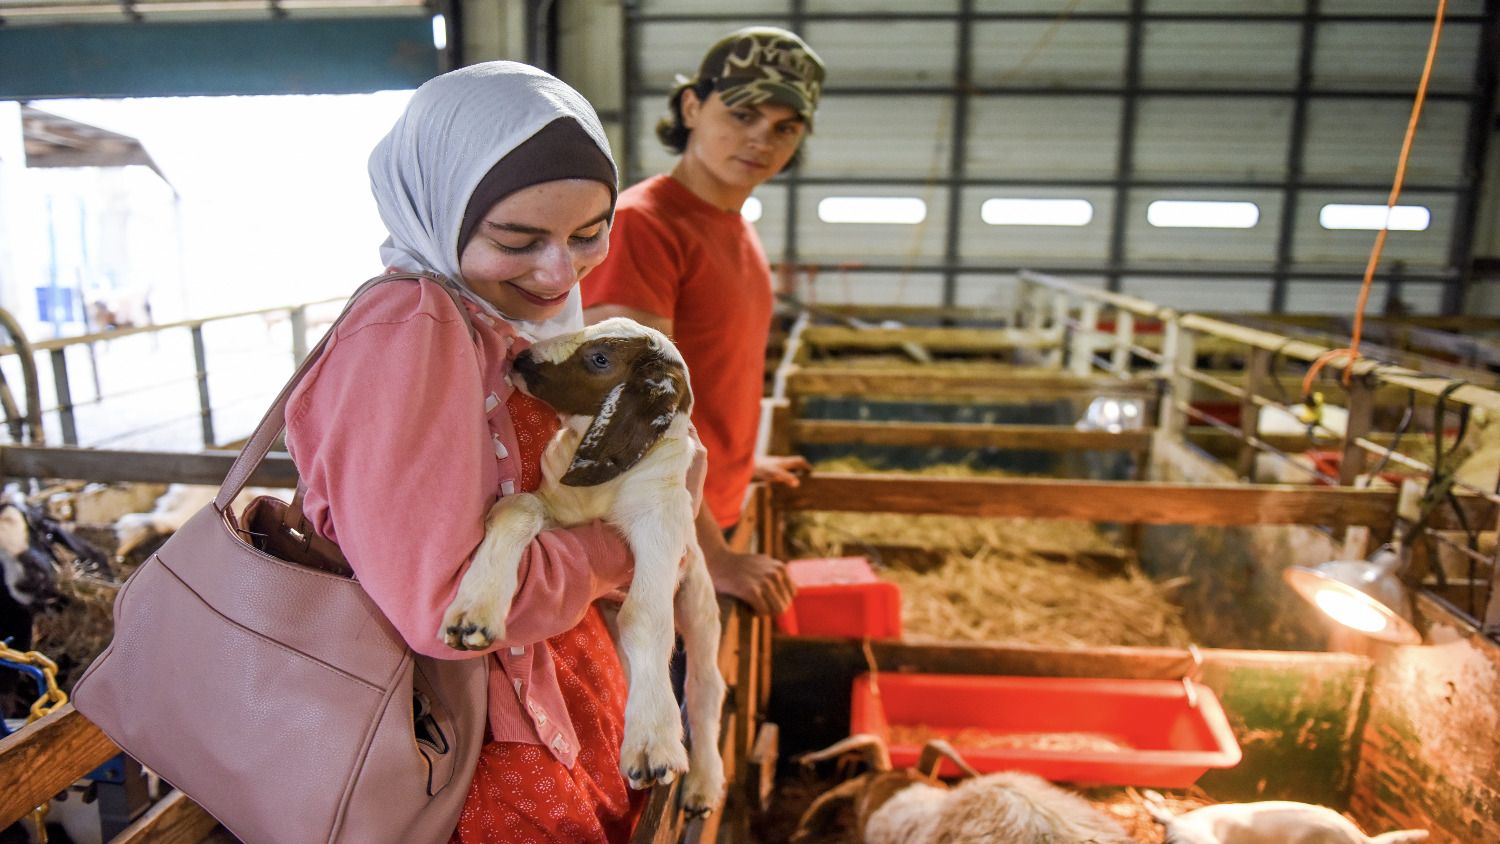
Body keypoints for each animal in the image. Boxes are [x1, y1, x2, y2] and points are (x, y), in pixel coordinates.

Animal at [435, 314, 726, 809]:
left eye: (600, 359)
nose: (520, 359)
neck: (601, 487)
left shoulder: (659, 523)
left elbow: (645, 618)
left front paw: (652, 745)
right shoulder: (556, 513)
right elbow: (516, 508)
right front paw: (473, 614)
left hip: (699, 600)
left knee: (705, 686)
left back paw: (703, 783)